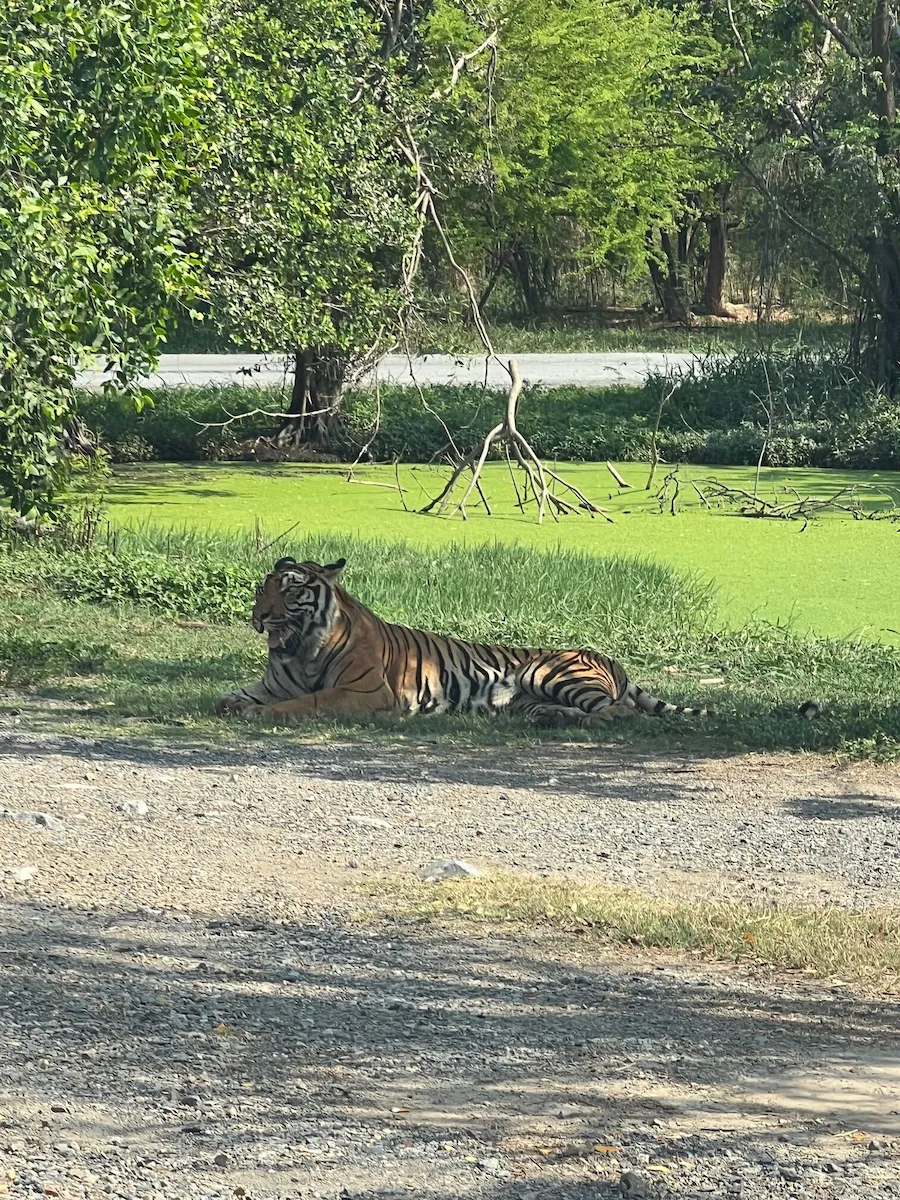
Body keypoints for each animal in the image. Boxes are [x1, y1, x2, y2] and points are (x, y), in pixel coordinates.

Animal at [214, 556, 708, 725]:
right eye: (261, 590)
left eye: (291, 590)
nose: (259, 617)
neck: (302, 650)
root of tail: (611, 659)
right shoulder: (273, 682)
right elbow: (226, 697)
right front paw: (232, 704)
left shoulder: (365, 691)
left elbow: (306, 702)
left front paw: (259, 714)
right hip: (527, 697)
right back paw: (552, 719)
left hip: (549, 671)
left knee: (621, 711)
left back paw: (586, 722)